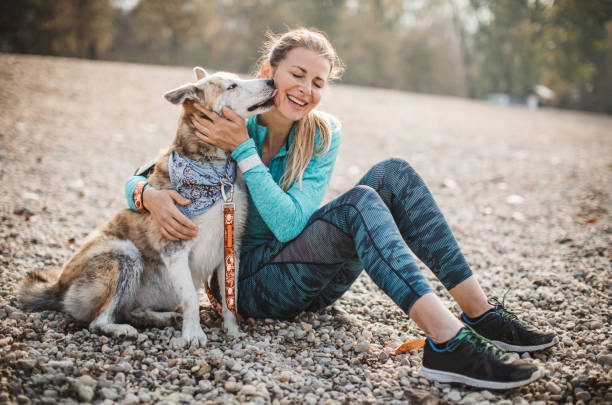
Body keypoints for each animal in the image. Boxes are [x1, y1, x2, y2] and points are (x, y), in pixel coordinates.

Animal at [16, 67, 276, 348]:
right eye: (231, 86)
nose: (272, 81)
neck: (215, 173)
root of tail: (58, 287)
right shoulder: (175, 248)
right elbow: (191, 298)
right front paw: (193, 335)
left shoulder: (231, 248)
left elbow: (231, 298)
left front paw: (232, 330)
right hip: (124, 254)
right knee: (100, 320)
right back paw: (123, 330)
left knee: (130, 310)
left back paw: (161, 318)